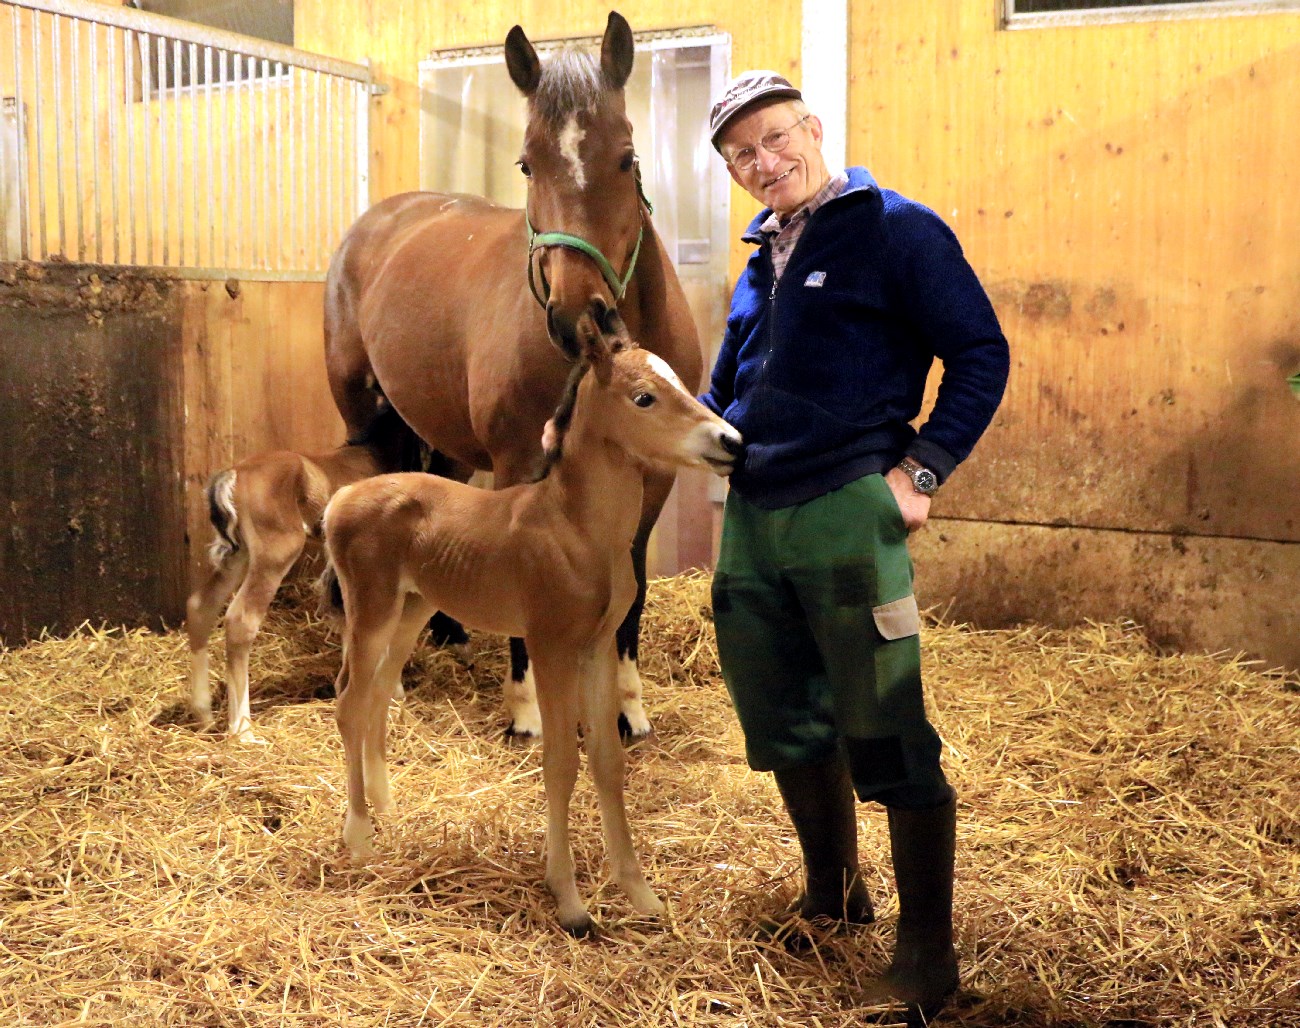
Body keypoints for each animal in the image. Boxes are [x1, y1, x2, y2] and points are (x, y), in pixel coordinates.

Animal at [322, 340, 743, 935]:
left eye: (682, 383)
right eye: (644, 398)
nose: (731, 442)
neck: (579, 532)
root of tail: (341, 499)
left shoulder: (596, 648)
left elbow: (608, 760)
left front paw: (640, 894)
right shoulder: (549, 646)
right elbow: (561, 761)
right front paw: (569, 903)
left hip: (413, 608)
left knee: (378, 695)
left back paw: (389, 814)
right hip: (373, 610)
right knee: (350, 702)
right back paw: (359, 836)